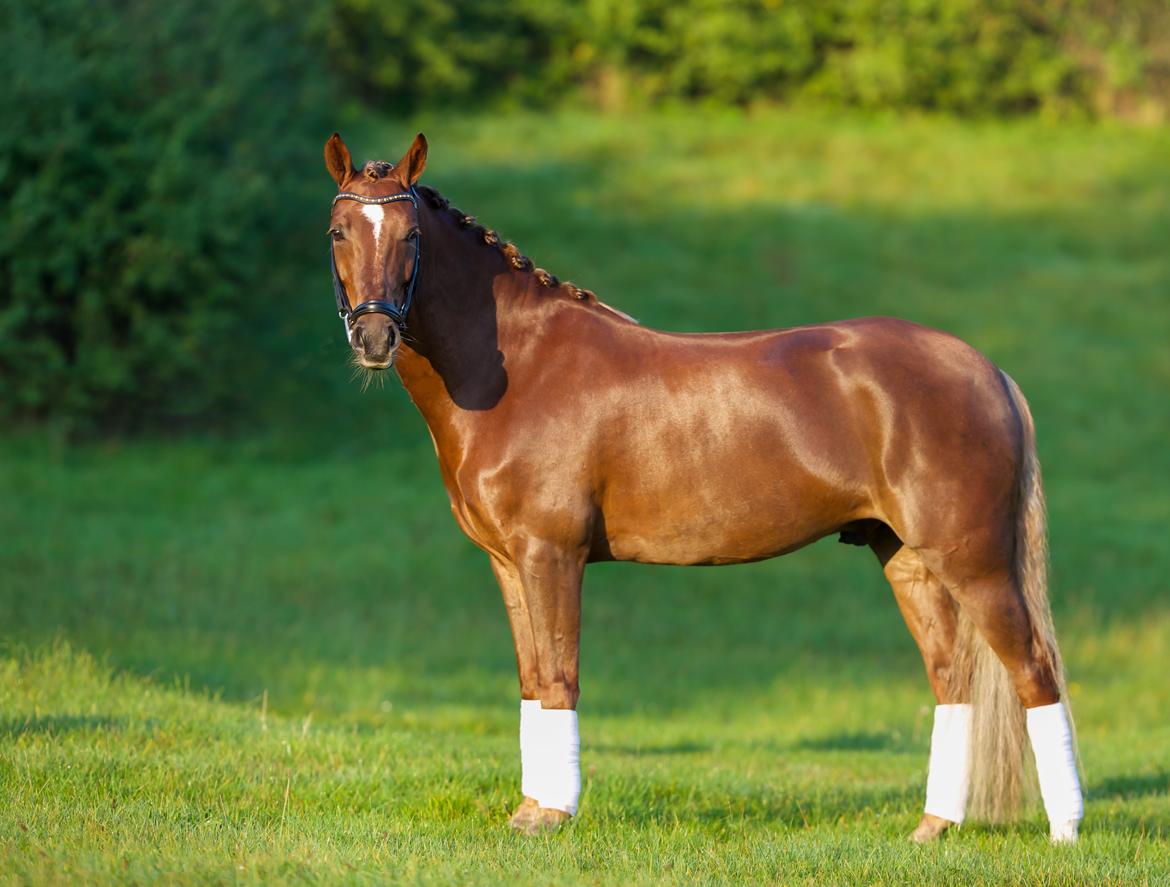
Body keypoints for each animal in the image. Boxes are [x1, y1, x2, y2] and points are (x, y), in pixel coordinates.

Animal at [321, 131, 1084, 842]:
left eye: (412, 235)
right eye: (338, 231)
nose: (374, 338)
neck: (518, 367)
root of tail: (986, 370)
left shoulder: (551, 554)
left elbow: (561, 678)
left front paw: (554, 814)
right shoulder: (508, 562)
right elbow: (533, 682)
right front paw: (530, 809)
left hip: (974, 561)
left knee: (1036, 671)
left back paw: (1065, 831)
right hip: (906, 558)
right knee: (952, 679)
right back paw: (934, 826)